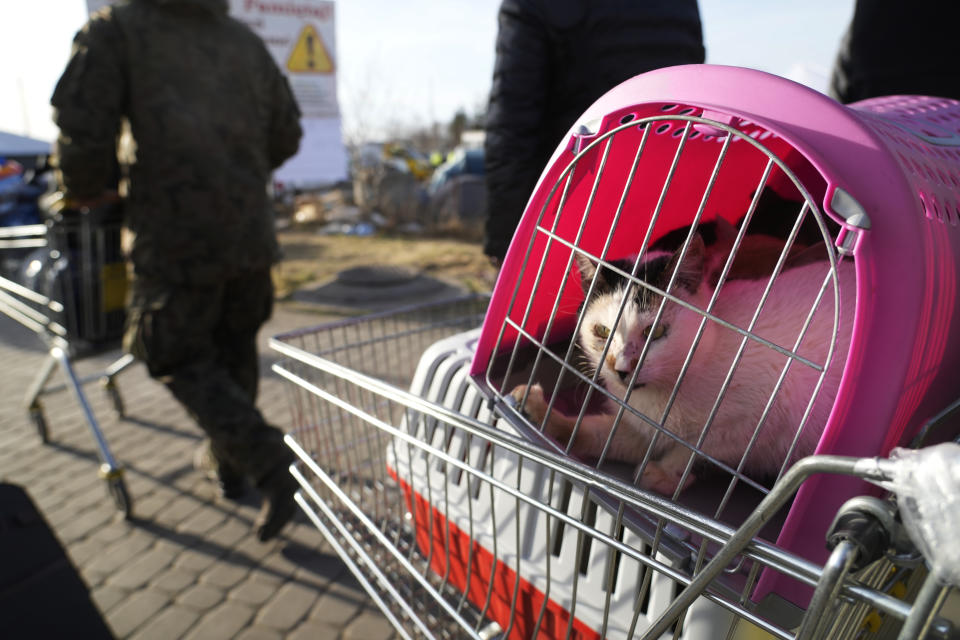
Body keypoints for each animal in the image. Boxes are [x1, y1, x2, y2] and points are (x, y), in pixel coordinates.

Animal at [510, 229, 856, 496]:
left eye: (656, 332)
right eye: (602, 332)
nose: (622, 368)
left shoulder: (767, 415)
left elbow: (701, 449)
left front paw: (664, 475)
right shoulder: (641, 428)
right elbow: (597, 433)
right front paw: (542, 412)